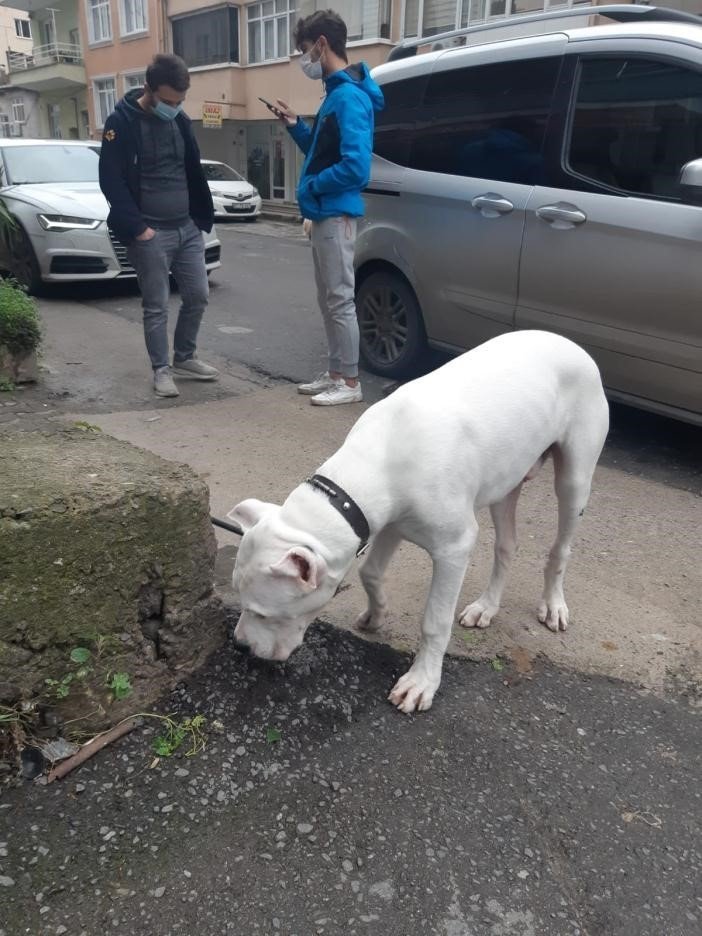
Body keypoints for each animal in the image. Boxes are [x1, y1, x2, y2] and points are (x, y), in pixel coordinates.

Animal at [227, 332, 612, 712]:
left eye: (264, 614)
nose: (239, 645)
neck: (378, 461)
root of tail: (567, 341)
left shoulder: (454, 548)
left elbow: (435, 621)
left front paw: (422, 681)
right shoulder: (387, 523)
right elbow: (370, 573)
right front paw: (376, 614)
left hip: (574, 480)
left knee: (560, 549)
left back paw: (554, 605)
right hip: (507, 480)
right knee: (506, 545)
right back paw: (487, 606)